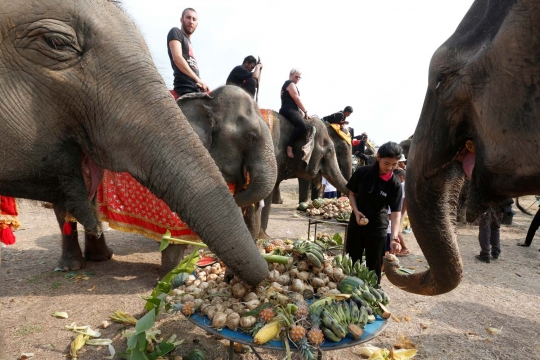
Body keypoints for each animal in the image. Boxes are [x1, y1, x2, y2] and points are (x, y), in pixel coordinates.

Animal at [0, 0, 268, 286]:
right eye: (251, 136)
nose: (229, 277)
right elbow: (174, 229)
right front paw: (173, 276)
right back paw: (72, 266)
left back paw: (101, 257)